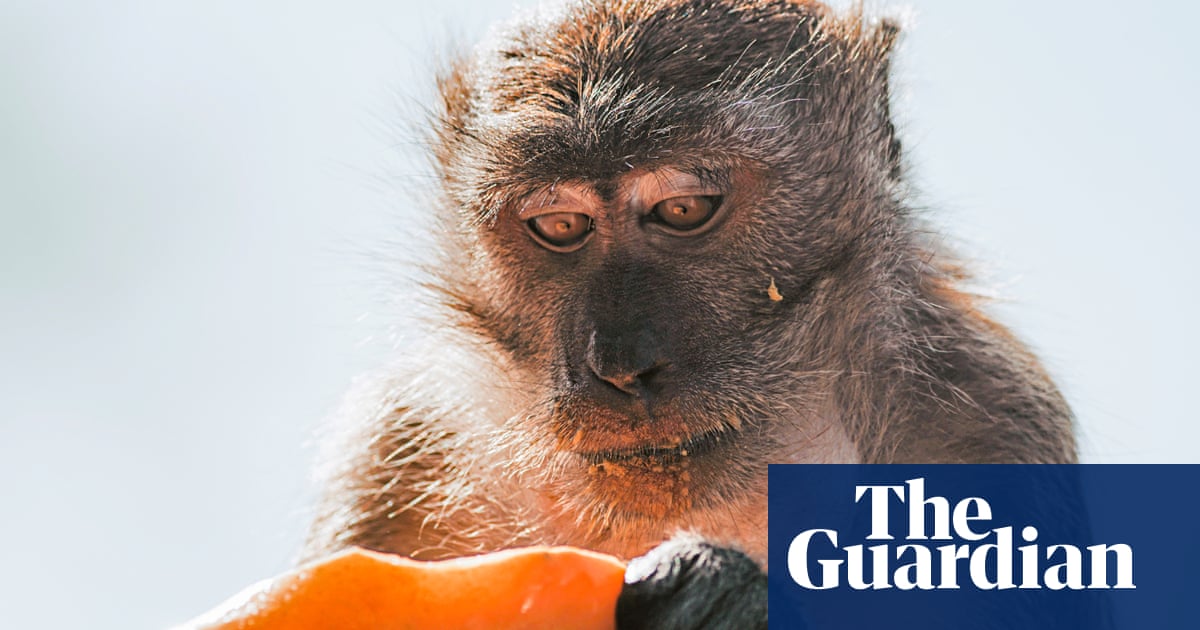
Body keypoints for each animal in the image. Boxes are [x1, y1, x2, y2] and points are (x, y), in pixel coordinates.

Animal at [302, 0, 1076, 627]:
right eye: (560, 225)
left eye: (682, 210)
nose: (620, 367)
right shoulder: (399, 445)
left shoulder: (991, 422)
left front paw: (731, 593)